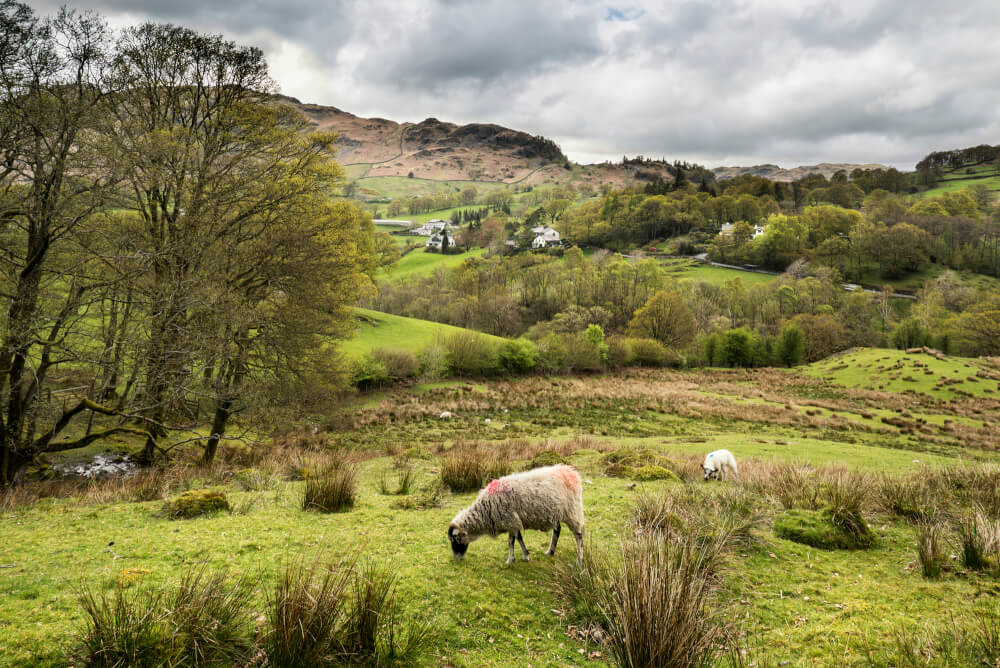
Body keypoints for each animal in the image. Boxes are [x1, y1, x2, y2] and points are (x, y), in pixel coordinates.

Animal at [448, 464, 584, 564]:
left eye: (455, 540)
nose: (456, 558)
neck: (486, 509)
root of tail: (571, 472)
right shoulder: (514, 522)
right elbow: (519, 538)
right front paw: (525, 555)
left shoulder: (510, 521)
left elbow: (511, 542)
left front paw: (510, 560)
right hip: (556, 513)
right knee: (557, 530)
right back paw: (550, 551)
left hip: (572, 510)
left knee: (578, 535)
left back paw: (580, 560)